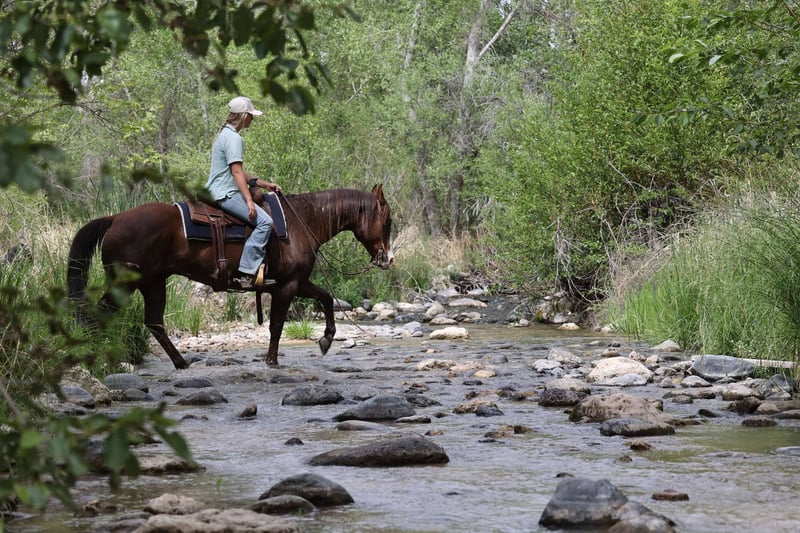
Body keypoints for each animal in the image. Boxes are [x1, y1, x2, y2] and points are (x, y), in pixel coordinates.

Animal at [67, 185, 393, 369]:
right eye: (388, 221)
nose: (387, 259)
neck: (302, 222)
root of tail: (115, 219)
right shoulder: (288, 286)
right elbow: (277, 325)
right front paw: (272, 361)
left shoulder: (296, 283)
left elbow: (325, 298)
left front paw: (326, 340)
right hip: (126, 284)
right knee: (98, 315)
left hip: (153, 283)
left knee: (154, 323)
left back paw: (181, 363)